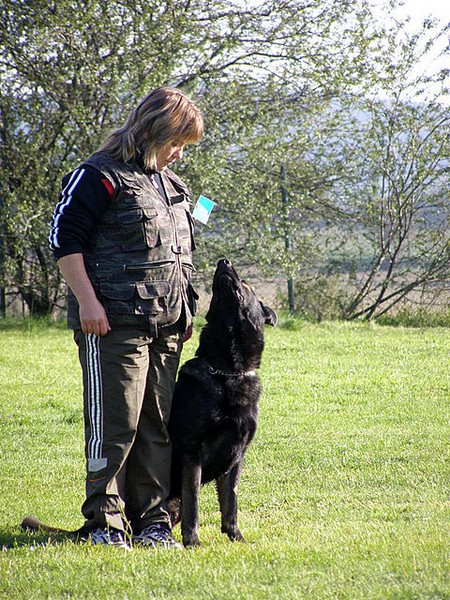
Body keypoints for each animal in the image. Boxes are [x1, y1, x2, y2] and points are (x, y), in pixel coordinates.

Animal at [168, 258, 277, 547]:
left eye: (246, 283)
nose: (223, 261)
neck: (228, 371)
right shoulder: (192, 453)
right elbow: (193, 502)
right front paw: (193, 541)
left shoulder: (236, 455)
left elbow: (231, 502)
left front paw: (235, 536)